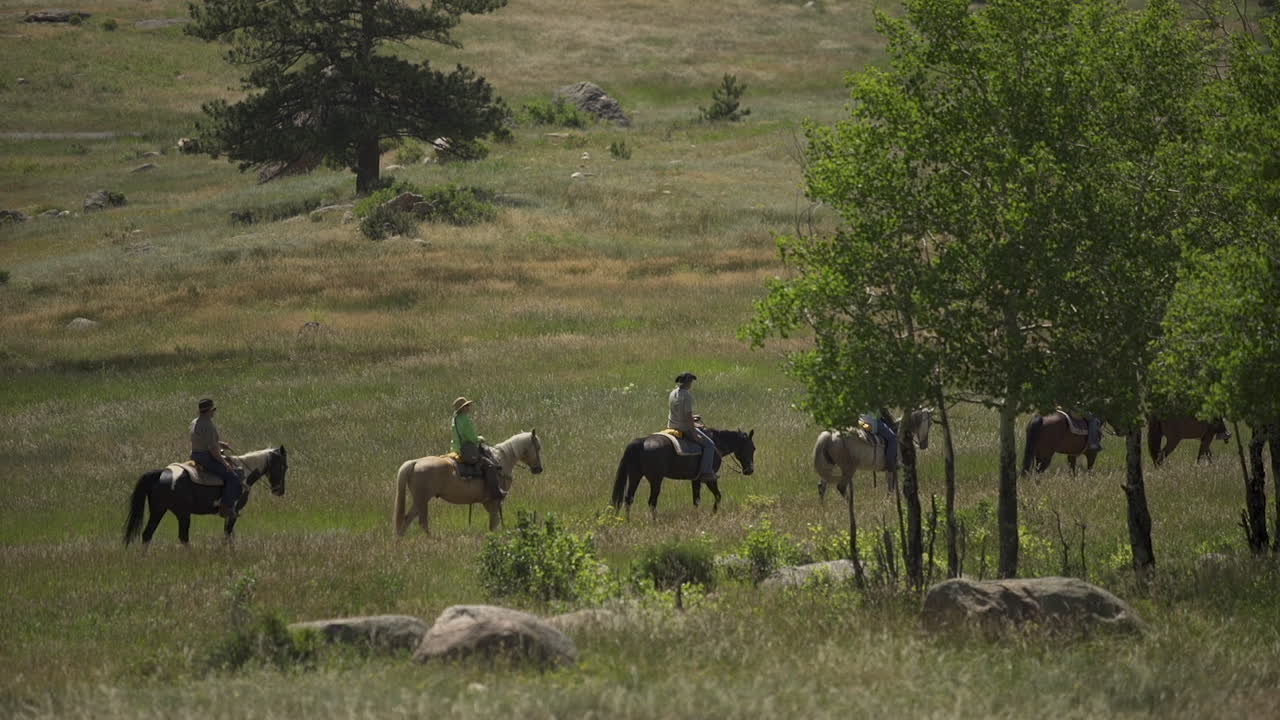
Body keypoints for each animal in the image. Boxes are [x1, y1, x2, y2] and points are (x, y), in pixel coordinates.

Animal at [123, 447, 288, 546]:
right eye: (284, 466)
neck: (243, 474)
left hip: (158, 510)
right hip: (183, 514)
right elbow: (227, 535)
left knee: (147, 534)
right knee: (183, 537)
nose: (279, 491)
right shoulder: (233, 512)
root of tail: (162, 473)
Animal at [393, 430, 543, 536]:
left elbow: (493, 522)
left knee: (407, 519)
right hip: (423, 499)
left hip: (419, 500)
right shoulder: (494, 500)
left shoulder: (488, 502)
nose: (539, 469)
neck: (501, 460)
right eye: (538, 447)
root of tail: (415, 462)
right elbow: (494, 522)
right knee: (422, 522)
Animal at [610, 427, 756, 520]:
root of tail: (641, 442)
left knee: (629, 499)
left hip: (635, 476)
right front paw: (713, 514)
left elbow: (696, 499)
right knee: (652, 502)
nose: (749, 470)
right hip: (655, 480)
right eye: (753, 448)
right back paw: (654, 522)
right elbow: (718, 495)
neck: (716, 444)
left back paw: (628, 521)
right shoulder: (709, 478)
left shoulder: (695, 479)